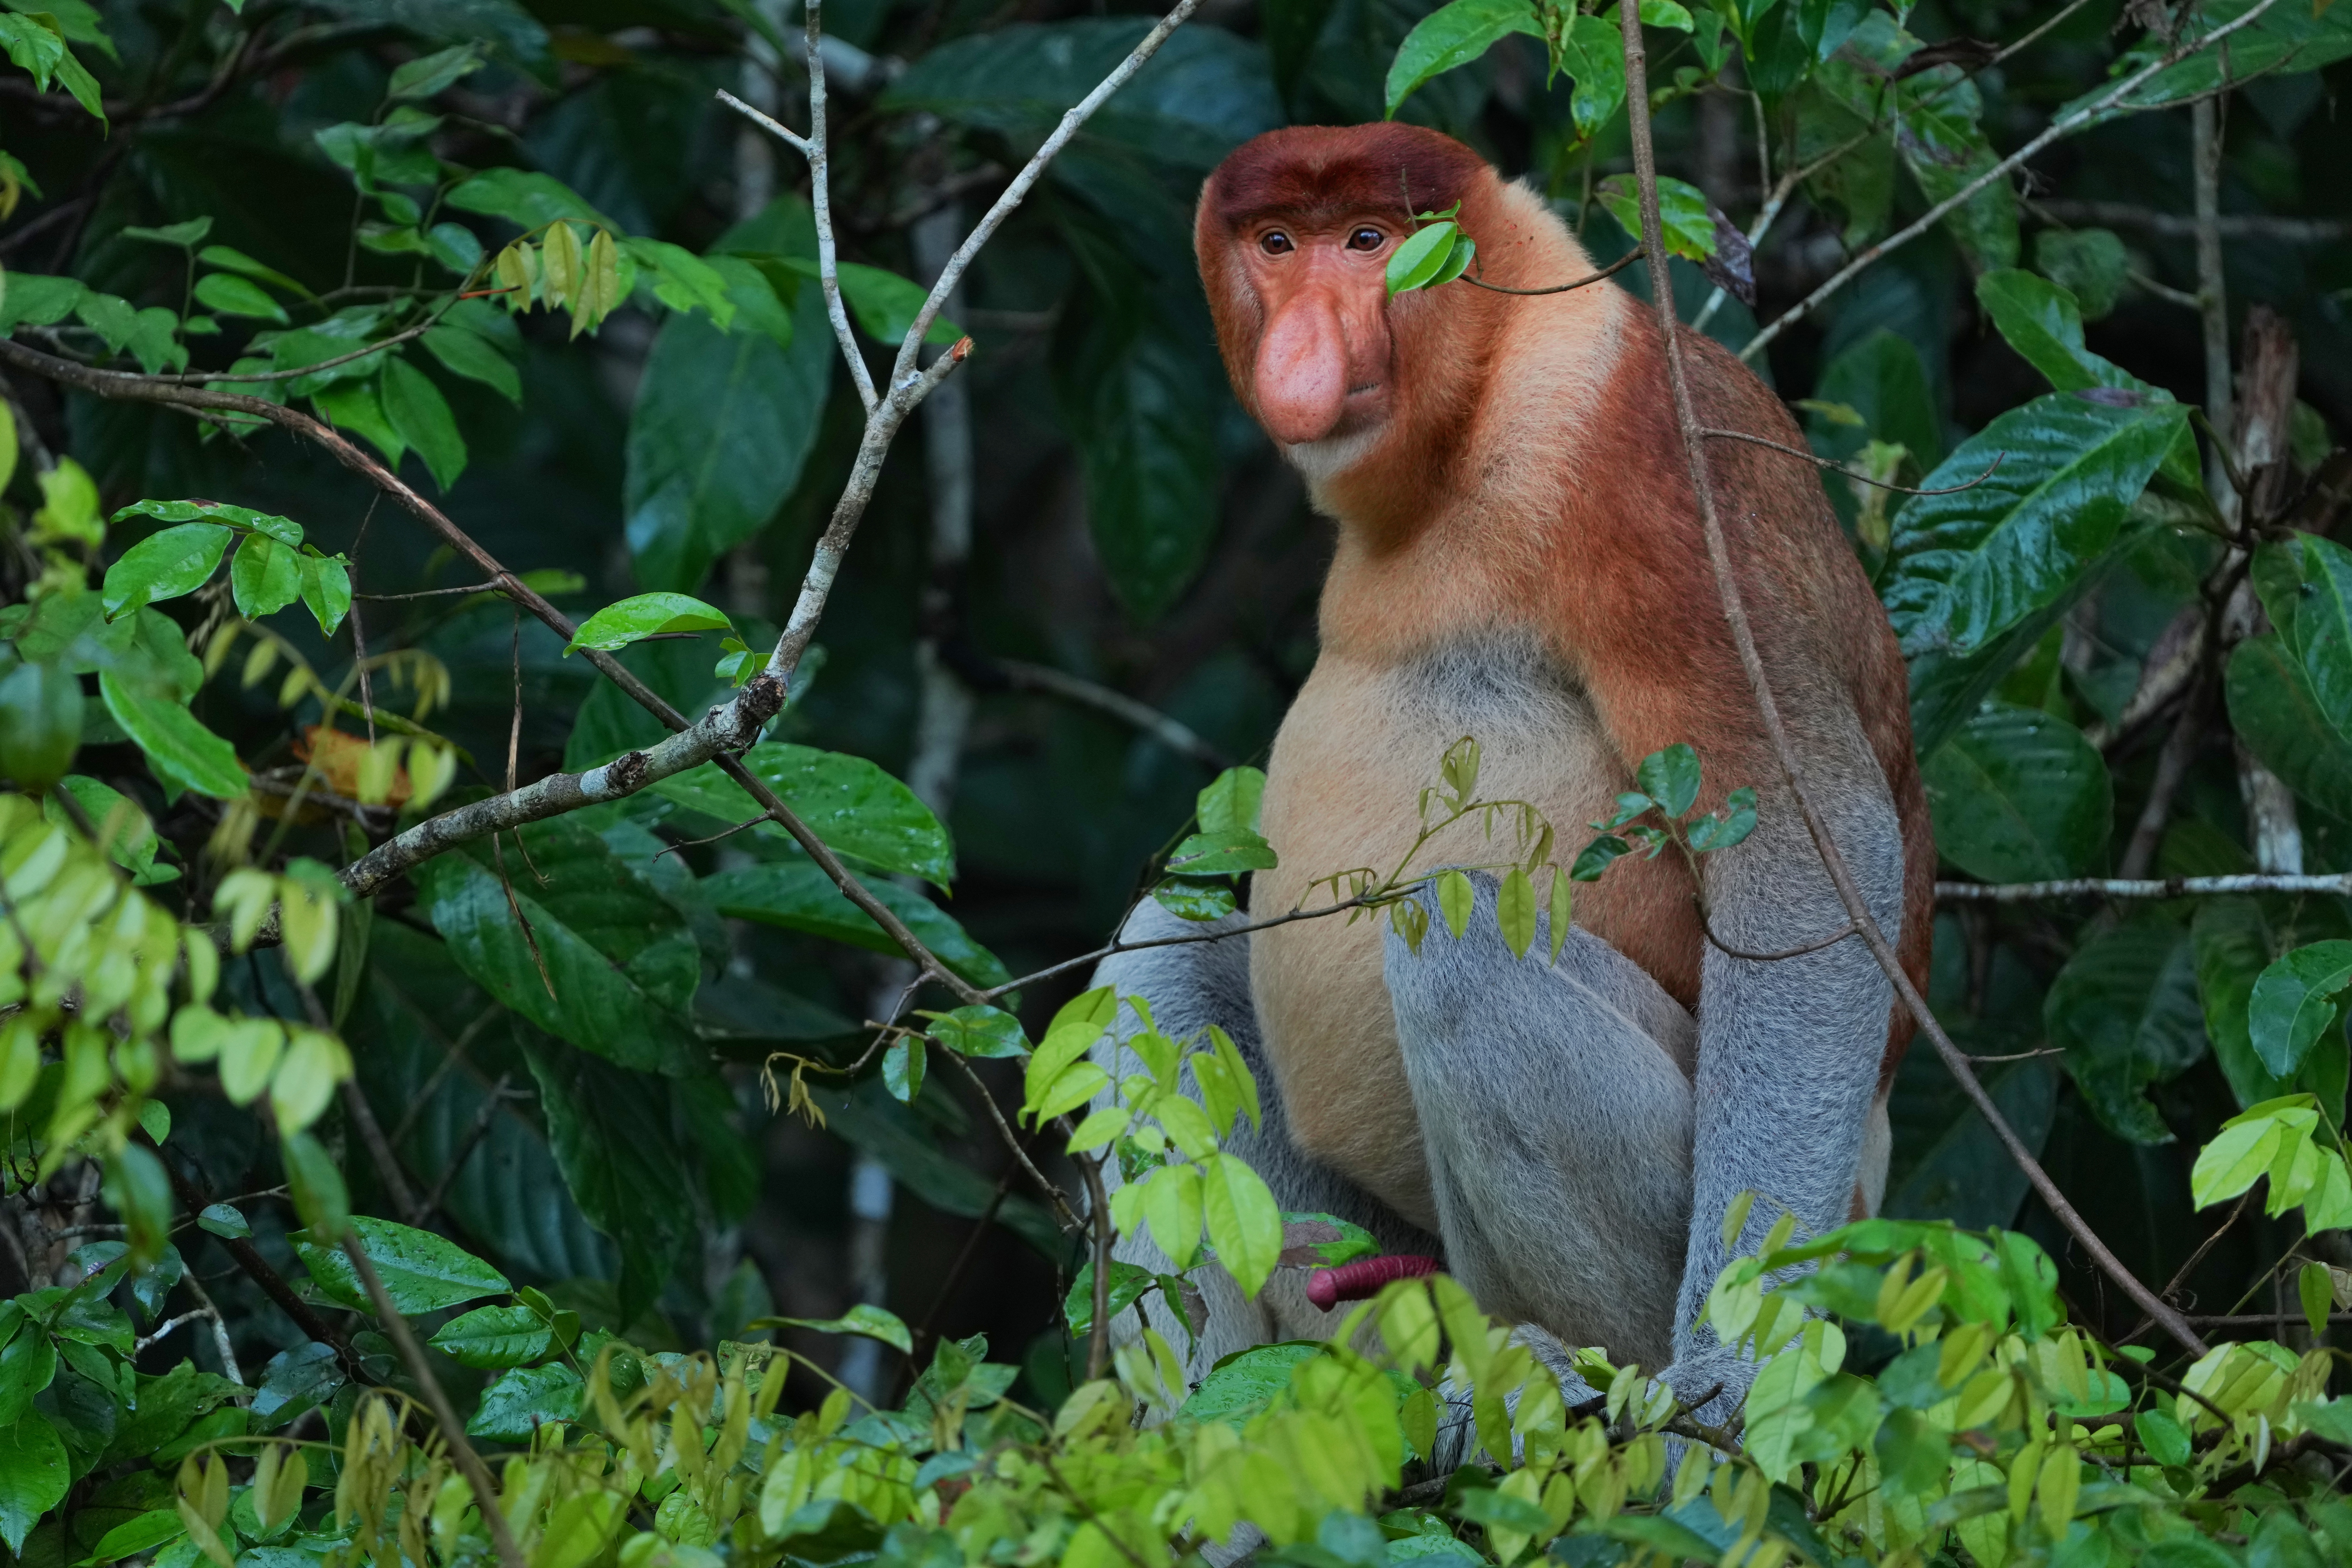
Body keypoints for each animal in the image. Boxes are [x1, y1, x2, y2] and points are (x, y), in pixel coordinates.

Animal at [1088, 123, 1933, 1420]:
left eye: (1368, 241)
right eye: (1277, 243)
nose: (1301, 345)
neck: (1478, 403)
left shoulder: (1646, 466)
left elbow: (1804, 843)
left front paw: (1721, 1377)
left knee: (1456, 935)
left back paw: (1584, 1368)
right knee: (1162, 949)